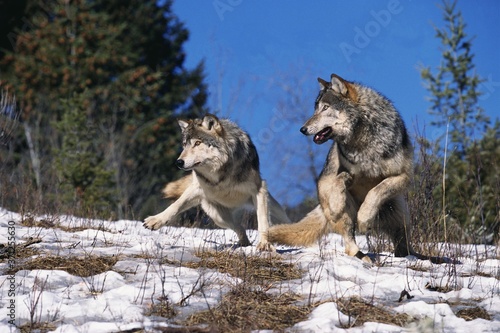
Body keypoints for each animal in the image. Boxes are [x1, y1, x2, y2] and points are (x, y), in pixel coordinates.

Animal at [143, 112, 292, 249]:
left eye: (197, 143)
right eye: (185, 145)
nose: (179, 162)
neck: (220, 174)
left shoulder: (259, 189)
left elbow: (262, 220)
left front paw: (264, 244)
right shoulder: (196, 188)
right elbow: (175, 205)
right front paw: (155, 220)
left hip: (275, 209)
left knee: (279, 221)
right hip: (218, 218)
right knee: (239, 227)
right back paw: (243, 243)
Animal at [268, 72, 432, 262]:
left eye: (325, 108)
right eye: (315, 108)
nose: (302, 129)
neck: (363, 141)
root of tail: (320, 207)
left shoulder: (403, 176)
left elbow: (376, 190)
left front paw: (364, 218)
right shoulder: (341, 174)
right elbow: (341, 178)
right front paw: (338, 203)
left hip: (402, 216)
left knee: (403, 248)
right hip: (345, 208)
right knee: (350, 244)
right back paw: (365, 258)